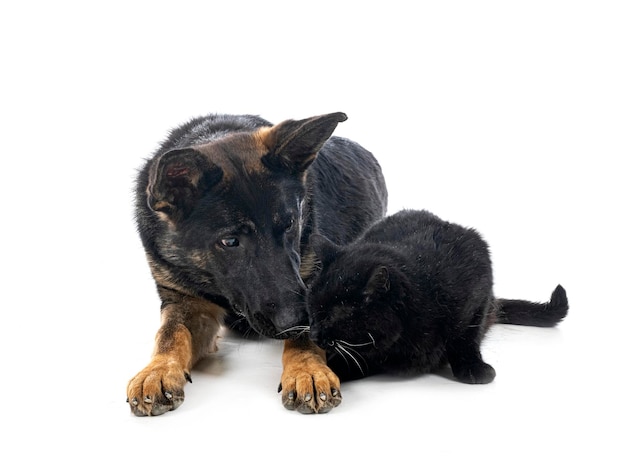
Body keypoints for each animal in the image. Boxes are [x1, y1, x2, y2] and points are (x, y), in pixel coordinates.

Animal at [126, 112, 386, 416]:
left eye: (289, 224)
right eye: (229, 241)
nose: (295, 320)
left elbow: (306, 336)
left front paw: (307, 369)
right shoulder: (186, 304)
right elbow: (170, 335)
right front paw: (155, 372)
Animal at [304, 211, 568, 384]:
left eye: (336, 314)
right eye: (312, 308)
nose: (314, 334)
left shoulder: (478, 285)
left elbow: (466, 335)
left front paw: (473, 368)